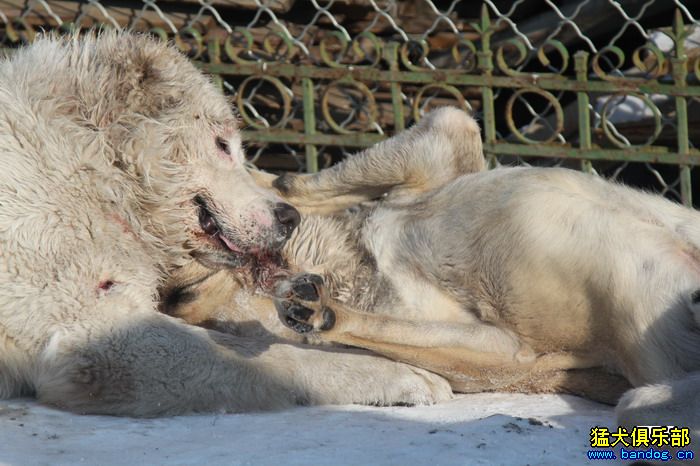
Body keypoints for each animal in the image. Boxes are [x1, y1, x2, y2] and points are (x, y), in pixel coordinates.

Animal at [168, 107, 700, 432]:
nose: (174, 297)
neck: (340, 256)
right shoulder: (504, 349)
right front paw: (319, 310)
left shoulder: (443, 151)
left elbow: (292, 183)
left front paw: (256, 179)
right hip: (645, 382)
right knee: (643, 400)